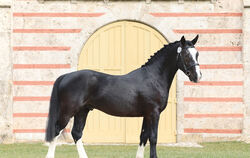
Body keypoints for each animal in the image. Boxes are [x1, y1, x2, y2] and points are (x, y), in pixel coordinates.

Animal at [44, 35, 201, 158]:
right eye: (186, 55)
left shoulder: (146, 115)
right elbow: (153, 138)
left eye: (197, 54)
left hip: (83, 111)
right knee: (57, 131)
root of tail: (66, 76)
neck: (153, 77)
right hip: (68, 111)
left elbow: (143, 137)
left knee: (76, 133)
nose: (198, 76)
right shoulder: (154, 113)